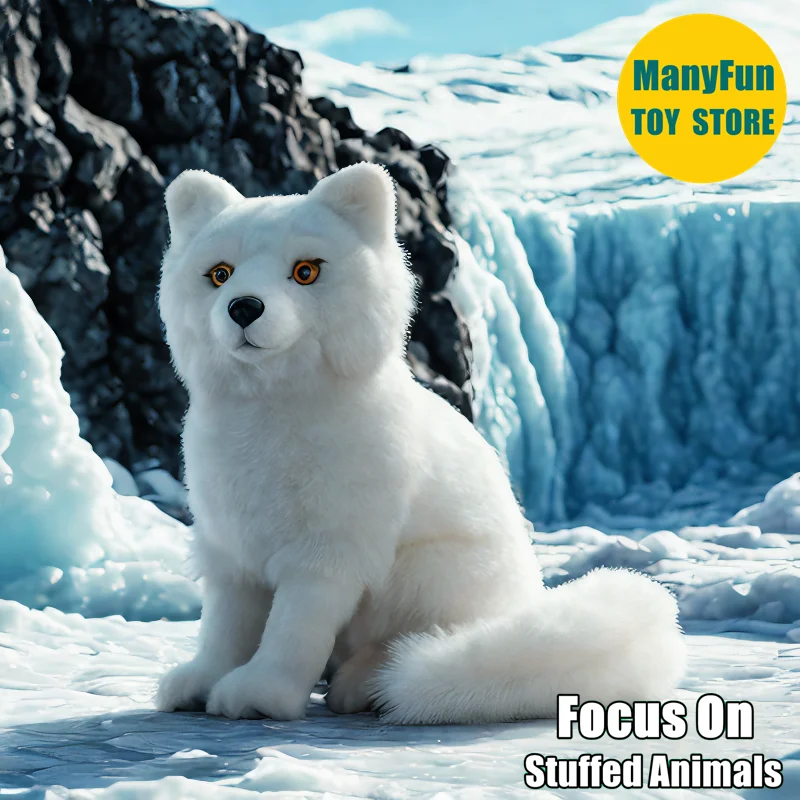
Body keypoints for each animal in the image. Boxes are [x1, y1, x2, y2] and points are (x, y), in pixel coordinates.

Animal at [155, 162, 685, 724]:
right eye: (220, 274)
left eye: (305, 271)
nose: (243, 307)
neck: (268, 414)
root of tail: (528, 604)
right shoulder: (230, 551)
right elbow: (226, 630)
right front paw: (202, 682)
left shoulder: (328, 554)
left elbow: (292, 631)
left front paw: (260, 694)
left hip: (426, 571)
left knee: (415, 640)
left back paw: (367, 683)